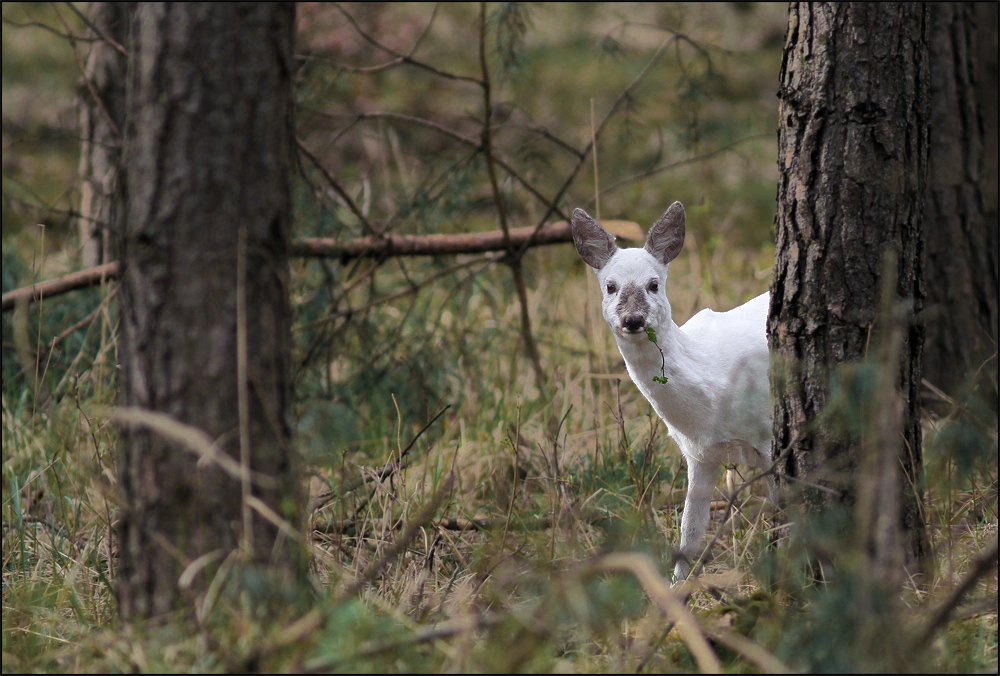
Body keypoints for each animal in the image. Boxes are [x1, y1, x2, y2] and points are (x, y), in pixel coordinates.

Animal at [572, 202, 772, 580]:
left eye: (654, 284)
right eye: (610, 286)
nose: (633, 320)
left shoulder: (770, 437)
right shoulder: (699, 455)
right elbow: (689, 531)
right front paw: (677, 587)